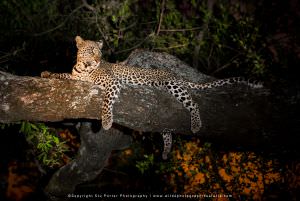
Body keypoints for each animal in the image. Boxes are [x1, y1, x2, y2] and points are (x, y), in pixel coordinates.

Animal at [41, 35, 262, 159]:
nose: (96, 61)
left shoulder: (112, 83)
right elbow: (62, 75)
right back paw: (165, 151)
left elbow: (106, 102)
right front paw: (47, 73)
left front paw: (106, 122)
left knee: (194, 103)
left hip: (173, 86)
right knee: (167, 130)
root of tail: (175, 75)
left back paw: (196, 124)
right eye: (90, 50)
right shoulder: (74, 77)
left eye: (99, 53)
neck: (83, 69)